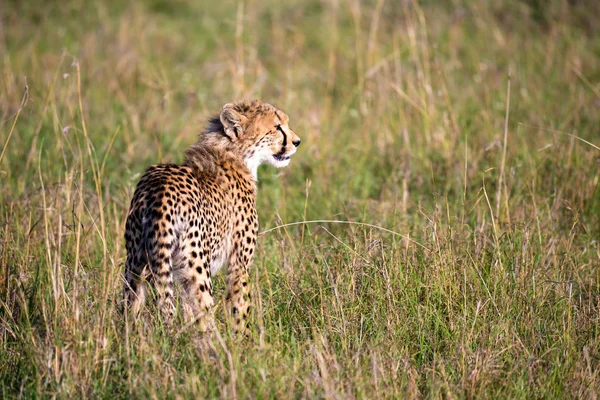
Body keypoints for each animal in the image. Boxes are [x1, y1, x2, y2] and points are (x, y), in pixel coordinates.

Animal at [123, 100, 300, 334]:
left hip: (135, 264)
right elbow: (239, 305)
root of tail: (159, 189)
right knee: (205, 316)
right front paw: (243, 341)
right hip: (196, 268)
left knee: (131, 308)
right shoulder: (239, 263)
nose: (297, 142)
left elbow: (188, 312)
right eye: (277, 127)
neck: (234, 154)